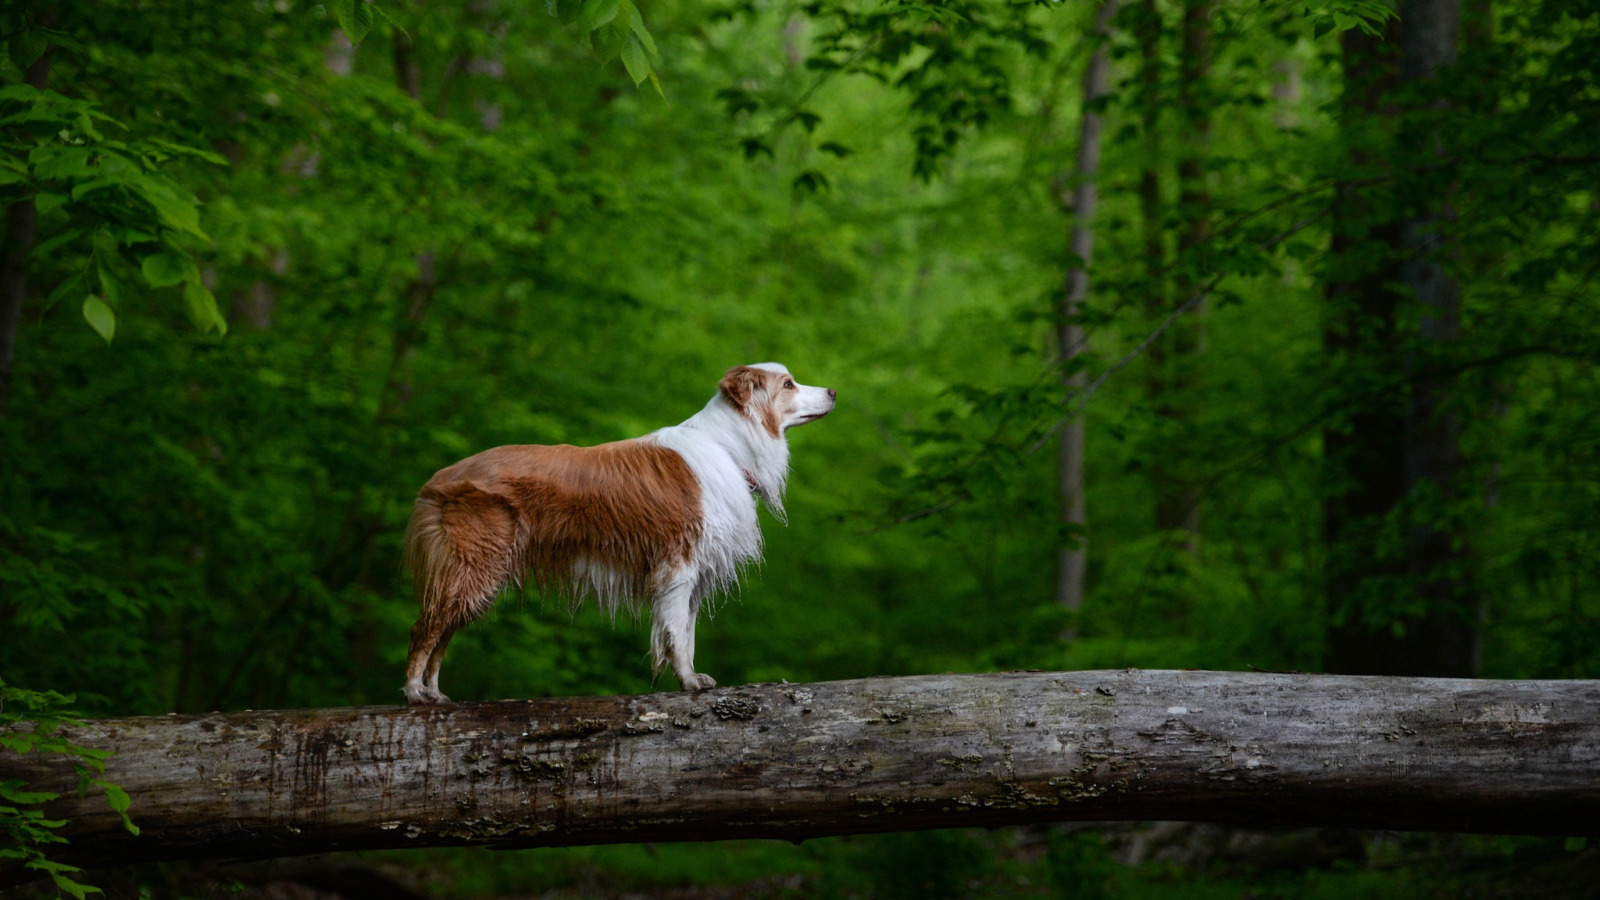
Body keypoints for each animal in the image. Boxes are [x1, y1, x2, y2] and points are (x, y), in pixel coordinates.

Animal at [403, 361, 838, 701]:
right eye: (788, 384)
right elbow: (676, 632)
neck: (727, 442)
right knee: (425, 628)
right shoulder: (678, 563)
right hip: (473, 567)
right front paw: (688, 681)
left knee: (441, 634)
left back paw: (435, 693)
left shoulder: (693, 571)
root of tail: (440, 476)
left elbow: (687, 630)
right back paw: (414, 693)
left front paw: (688, 677)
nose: (833, 391)